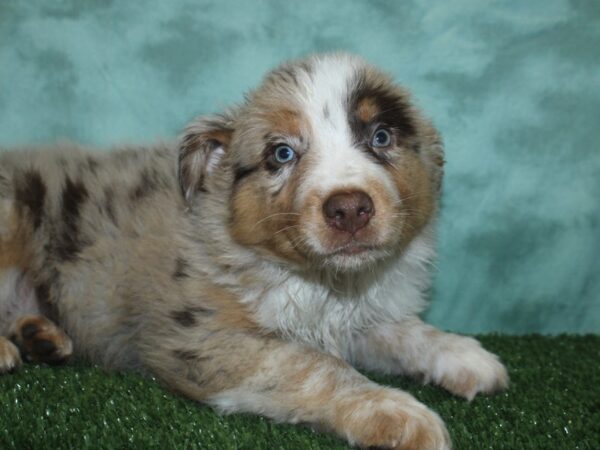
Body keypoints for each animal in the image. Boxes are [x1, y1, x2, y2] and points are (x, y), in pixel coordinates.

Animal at [0, 53, 506, 450]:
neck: (319, 280)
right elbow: (312, 366)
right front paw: (398, 412)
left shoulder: (356, 319)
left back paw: (40, 337)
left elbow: (403, 331)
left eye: (380, 137)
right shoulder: (199, 339)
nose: (349, 209)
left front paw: (465, 356)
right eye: (282, 154)